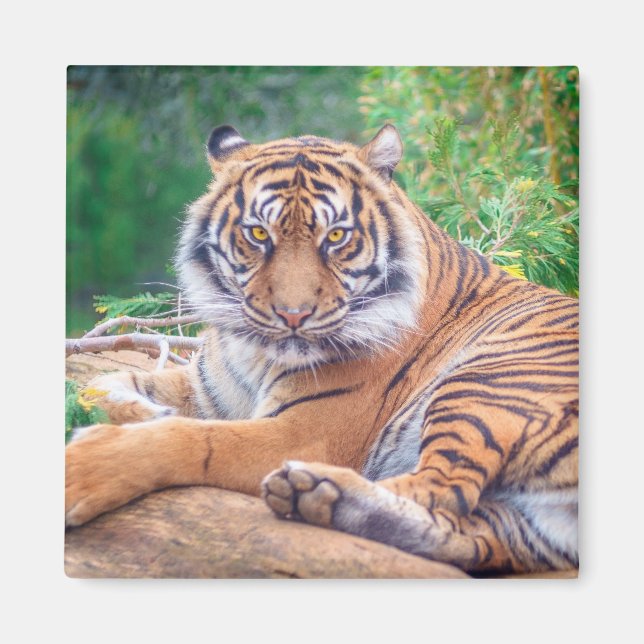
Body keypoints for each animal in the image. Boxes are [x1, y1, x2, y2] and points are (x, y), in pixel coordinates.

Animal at [65, 123, 579, 575]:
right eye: (258, 234)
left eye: (336, 237)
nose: (293, 315)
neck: (255, 352)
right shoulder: (206, 388)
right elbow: (107, 382)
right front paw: (145, 411)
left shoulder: (303, 432)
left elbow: (196, 439)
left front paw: (84, 469)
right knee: (468, 535)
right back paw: (318, 497)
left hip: (486, 382)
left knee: (443, 488)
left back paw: (318, 486)